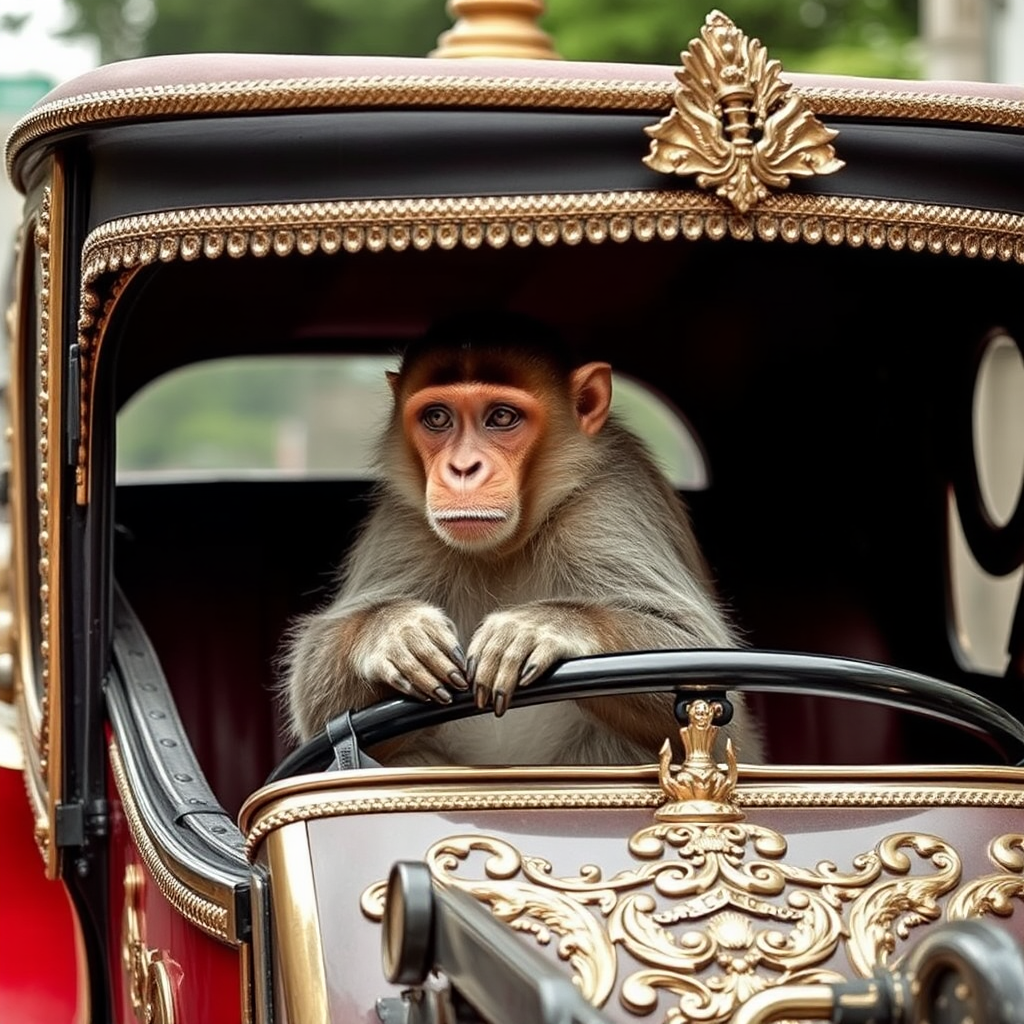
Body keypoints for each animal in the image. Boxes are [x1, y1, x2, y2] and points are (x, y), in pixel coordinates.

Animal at [280, 315, 761, 765]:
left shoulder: (610, 504)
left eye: (502, 418)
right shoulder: (406, 523)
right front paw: (392, 631)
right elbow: (316, 706)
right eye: (437, 418)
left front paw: (545, 626)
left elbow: (705, 676)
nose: (462, 468)